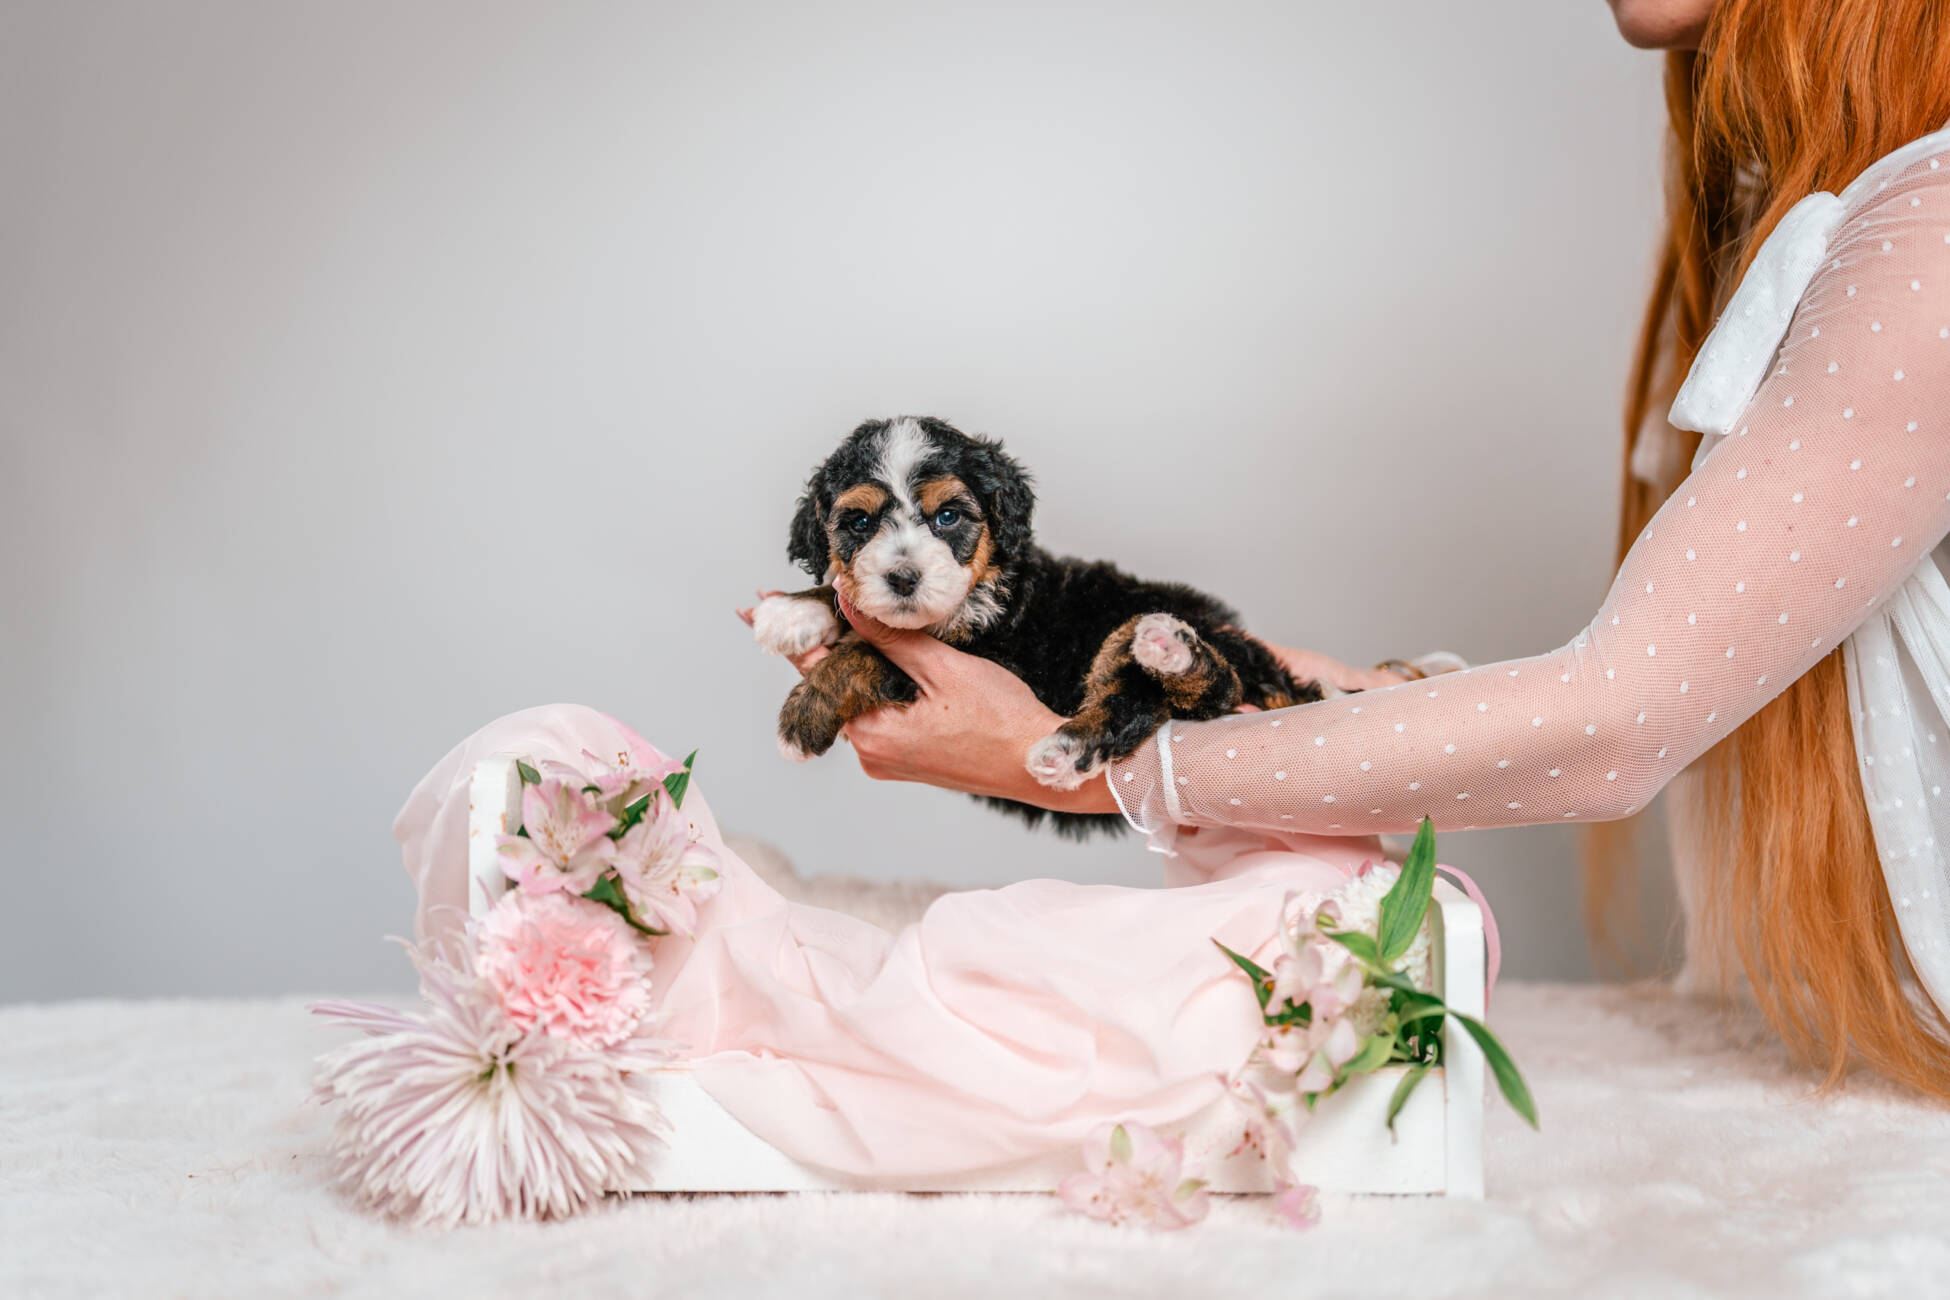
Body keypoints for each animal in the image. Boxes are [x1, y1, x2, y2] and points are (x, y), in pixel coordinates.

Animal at [751, 415, 1323, 836]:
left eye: (948, 517)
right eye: (860, 523)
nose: (903, 578)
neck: (982, 592)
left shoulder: (1000, 657)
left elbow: (869, 653)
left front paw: (802, 717)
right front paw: (794, 610)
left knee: (1160, 693)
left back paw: (1088, 729)